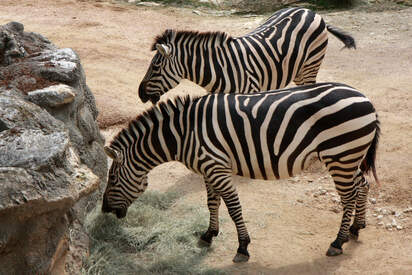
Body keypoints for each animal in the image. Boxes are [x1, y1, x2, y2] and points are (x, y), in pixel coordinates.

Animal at [101, 83, 378, 264]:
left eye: (112, 179)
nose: (104, 210)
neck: (184, 134)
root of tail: (365, 98)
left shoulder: (217, 168)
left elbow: (234, 209)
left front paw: (243, 247)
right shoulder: (208, 169)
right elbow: (212, 203)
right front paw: (208, 235)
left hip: (340, 155)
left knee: (348, 196)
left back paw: (338, 242)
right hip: (349, 157)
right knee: (362, 185)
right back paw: (357, 227)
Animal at [138, 7, 354, 104]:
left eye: (155, 67)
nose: (140, 94)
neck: (220, 69)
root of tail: (309, 10)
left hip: (311, 64)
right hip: (299, 70)